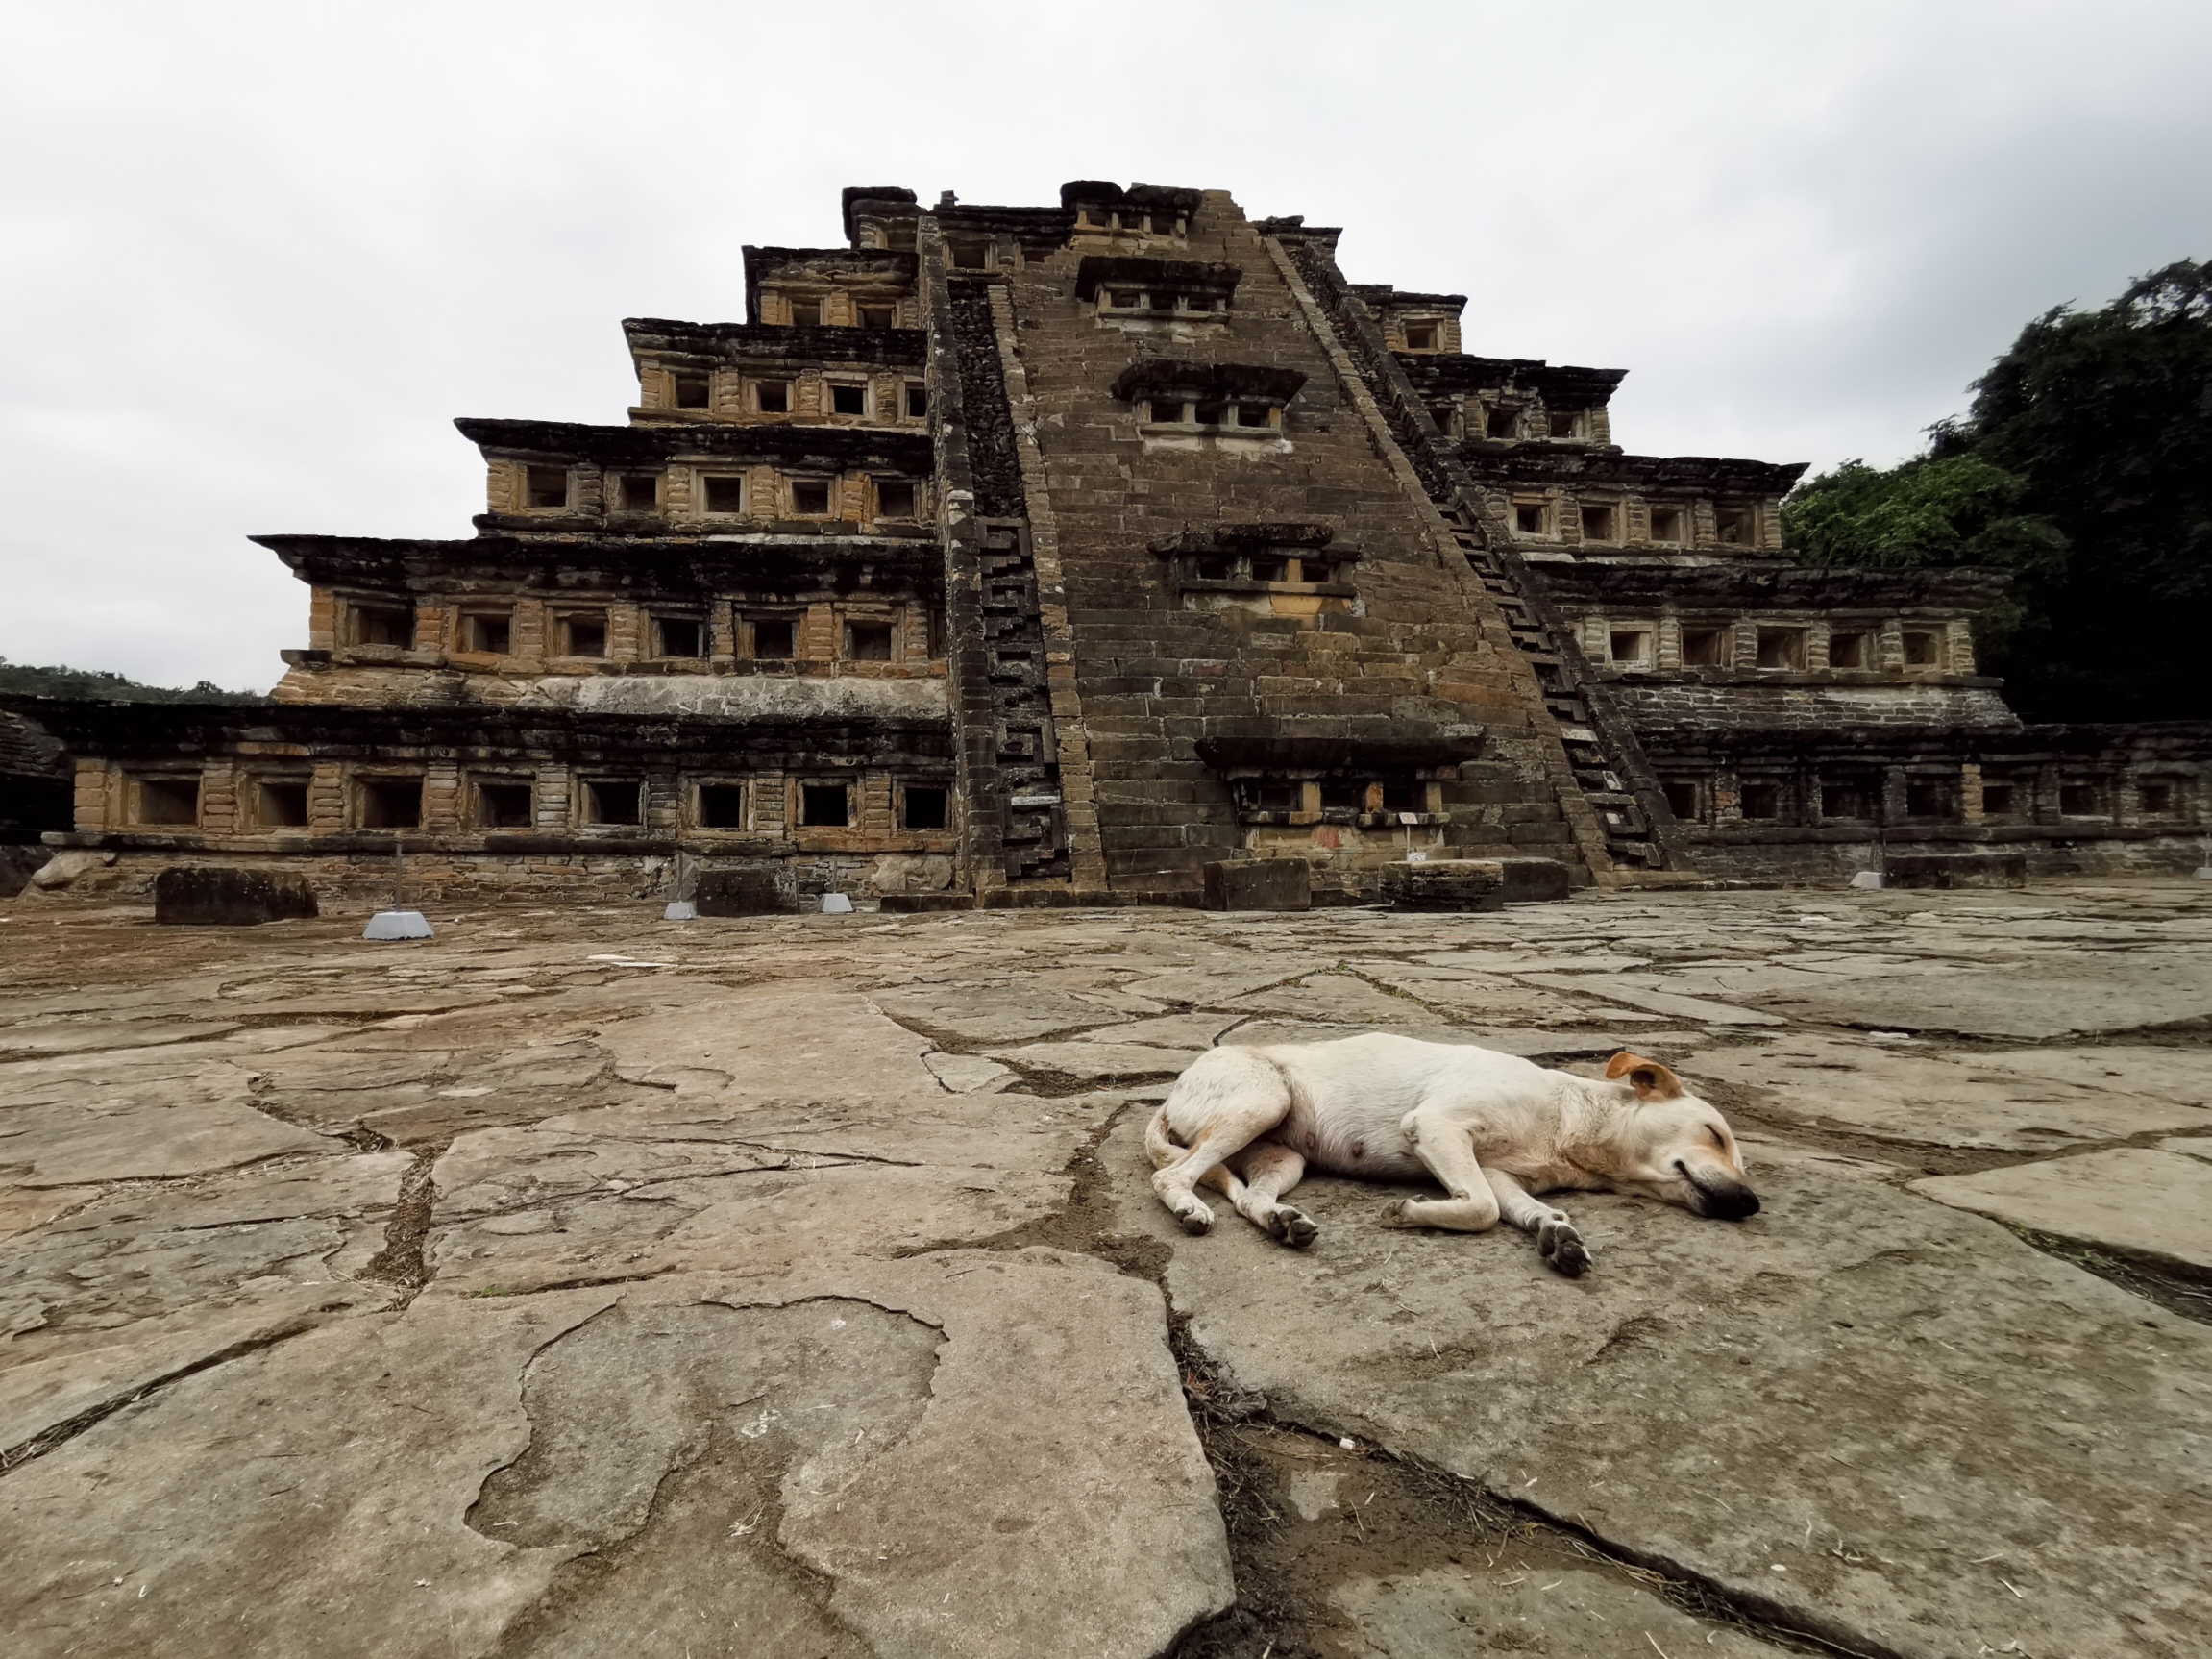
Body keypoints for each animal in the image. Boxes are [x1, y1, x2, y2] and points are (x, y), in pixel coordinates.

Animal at [1150, 1035, 1752, 1282]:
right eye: (1715, 1134)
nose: (1751, 1203)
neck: (1571, 1123)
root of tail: (1175, 1088)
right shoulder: (1436, 1126)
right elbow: (1483, 1209)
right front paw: (1410, 1213)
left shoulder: (1502, 1173)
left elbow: (1521, 1207)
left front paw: (1557, 1234)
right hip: (1262, 1100)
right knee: (1170, 1174)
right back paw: (1187, 1207)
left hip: (1284, 1159)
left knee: (1249, 1199)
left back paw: (1282, 1221)